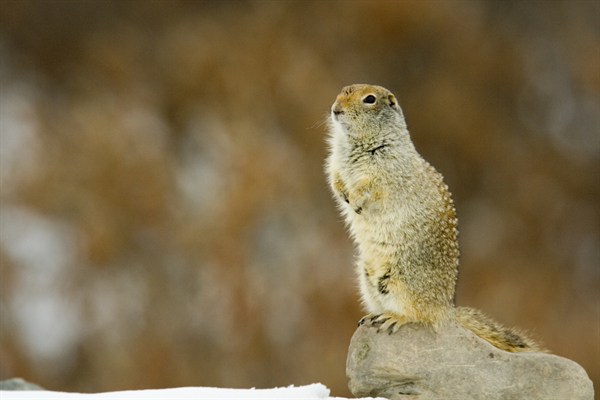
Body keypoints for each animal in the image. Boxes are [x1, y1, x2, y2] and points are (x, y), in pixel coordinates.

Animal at [328, 83, 544, 352]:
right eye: (341, 92)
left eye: (369, 99)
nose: (335, 109)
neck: (355, 144)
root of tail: (446, 309)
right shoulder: (335, 162)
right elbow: (335, 178)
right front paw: (344, 194)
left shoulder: (387, 170)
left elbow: (372, 186)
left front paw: (356, 201)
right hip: (367, 277)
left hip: (402, 280)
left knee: (419, 315)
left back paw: (394, 317)